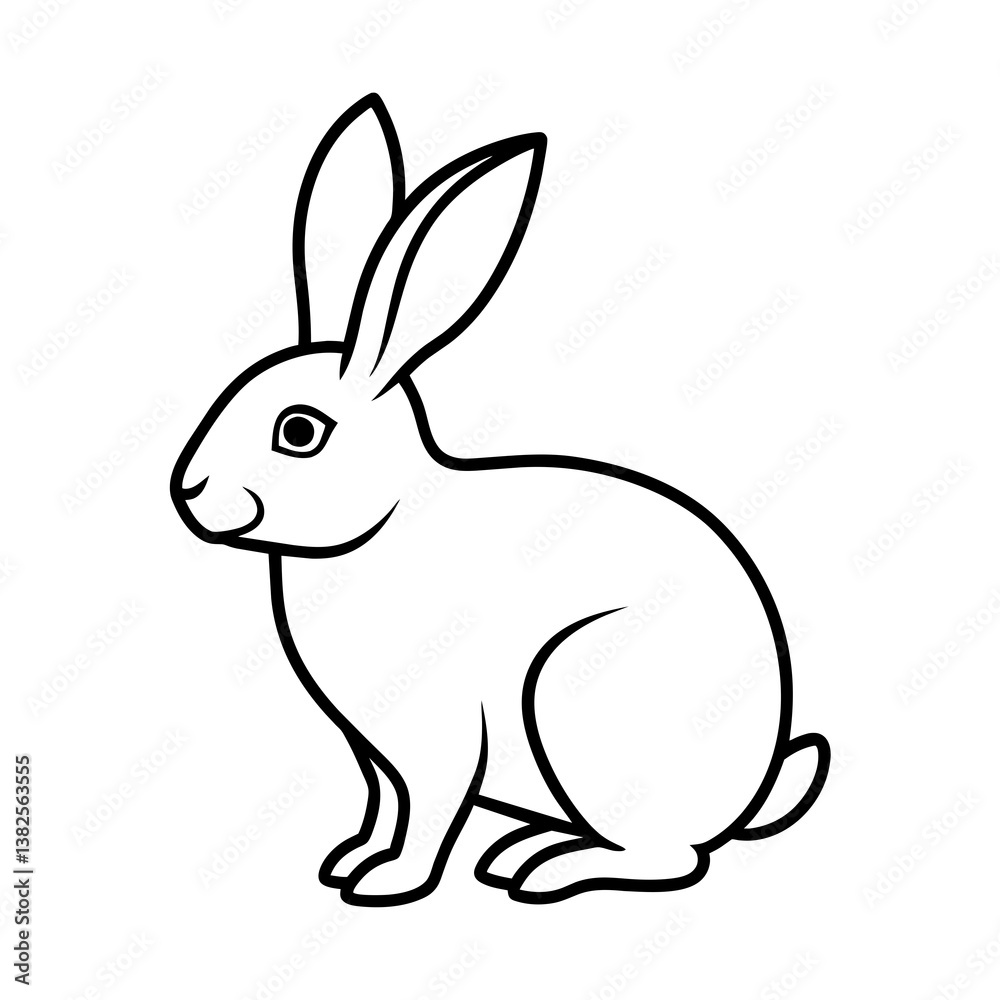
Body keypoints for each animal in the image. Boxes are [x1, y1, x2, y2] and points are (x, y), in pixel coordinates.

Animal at [170, 94, 830, 906]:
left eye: (298, 431)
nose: (189, 492)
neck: (386, 520)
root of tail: (750, 794)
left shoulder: (444, 733)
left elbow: (428, 810)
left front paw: (389, 881)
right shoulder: (373, 750)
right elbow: (382, 803)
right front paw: (350, 860)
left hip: (578, 704)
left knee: (672, 859)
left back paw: (550, 869)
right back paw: (525, 848)